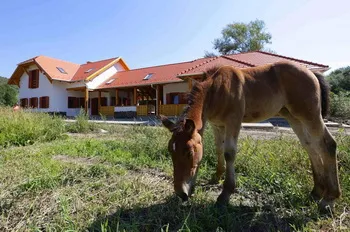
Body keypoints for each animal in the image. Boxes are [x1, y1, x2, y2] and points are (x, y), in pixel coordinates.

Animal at [161, 60, 342, 211]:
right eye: (171, 151)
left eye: (189, 152)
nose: (181, 193)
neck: (215, 90)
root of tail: (311, 72)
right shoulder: (217, 125)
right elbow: (218, 149)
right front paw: (216, 176)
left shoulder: (233, 121)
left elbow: (229, 153)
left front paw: (225, 194)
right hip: (293, 117)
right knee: (311, 146)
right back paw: (316, 192)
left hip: (309, 115)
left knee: (328, 144)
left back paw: (329, 199)